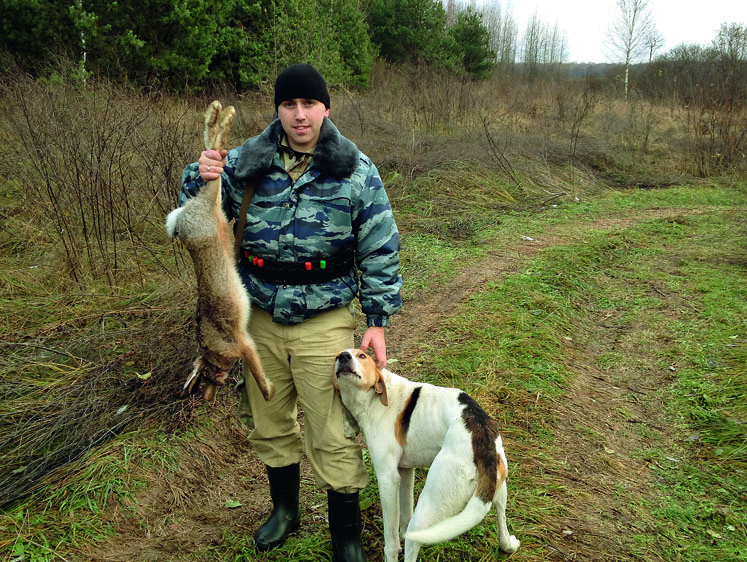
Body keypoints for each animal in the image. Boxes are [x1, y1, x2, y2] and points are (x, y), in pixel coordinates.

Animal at [334, 348, 520, 556]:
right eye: (336, 357)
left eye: (362, 356)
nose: (343, 356)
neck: (375, 397)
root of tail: (480, 431)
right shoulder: (406, 471)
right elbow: (404, 516)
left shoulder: (388, 479)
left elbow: (391, 542)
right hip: (499, 485)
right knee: (501, 520)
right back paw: (509, 545)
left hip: (429, 506)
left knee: (413, 540)